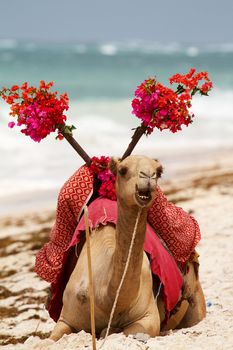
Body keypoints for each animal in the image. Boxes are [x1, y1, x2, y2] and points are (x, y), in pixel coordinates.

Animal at [49, 156, 206, 342]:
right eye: (123, 170)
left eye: (159, 171)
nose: (148, 177)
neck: (106, 299)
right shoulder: (66, 318)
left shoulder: (147, 318)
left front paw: (108, 330)